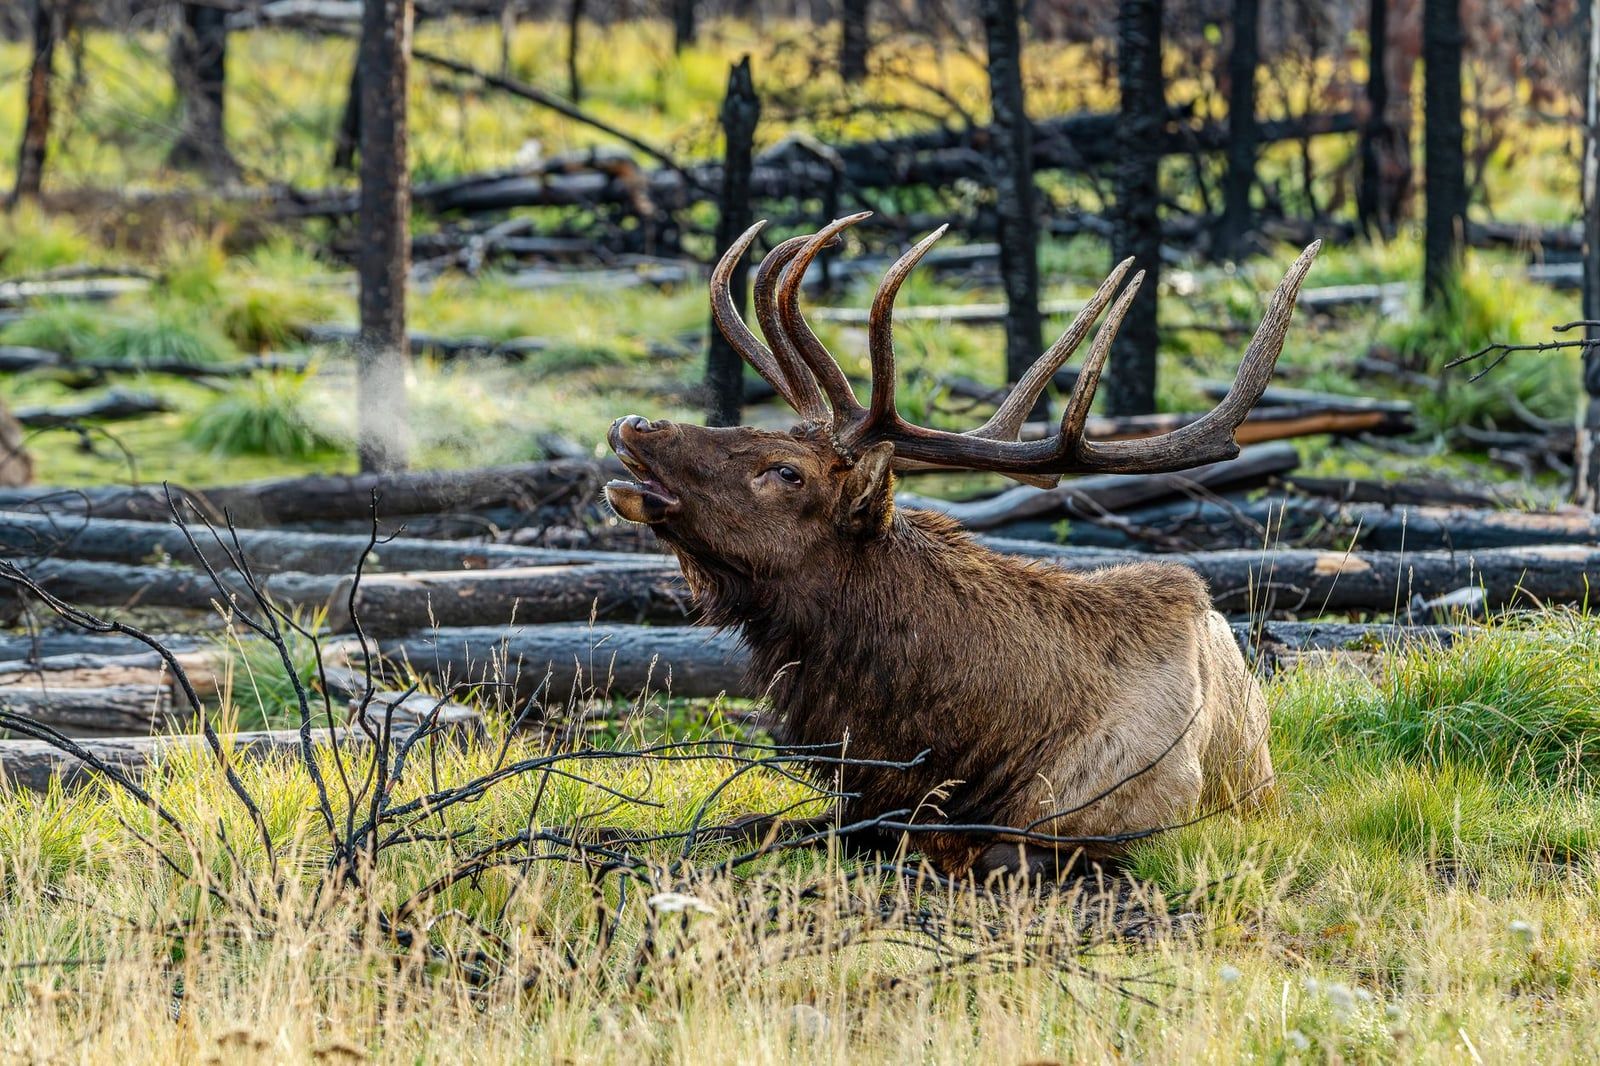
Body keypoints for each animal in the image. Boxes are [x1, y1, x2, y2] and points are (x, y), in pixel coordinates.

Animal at [604, 213, 1320, 877]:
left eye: (786, 471)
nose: (635, 424)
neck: (963, 749)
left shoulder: (1126, 832)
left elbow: (977, 855)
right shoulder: (865, 802)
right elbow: (739, 826)